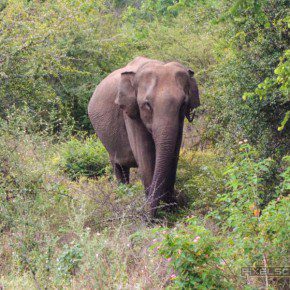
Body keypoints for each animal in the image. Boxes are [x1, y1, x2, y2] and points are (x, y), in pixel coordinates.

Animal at [88, 56, 199, 216]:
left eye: (183, 104)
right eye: (147, 105)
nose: (146, 217)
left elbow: (174, 152)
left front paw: (170, 208)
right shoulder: (130, 112)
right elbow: (144, 153)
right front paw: (157, 211)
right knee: (119, 167)